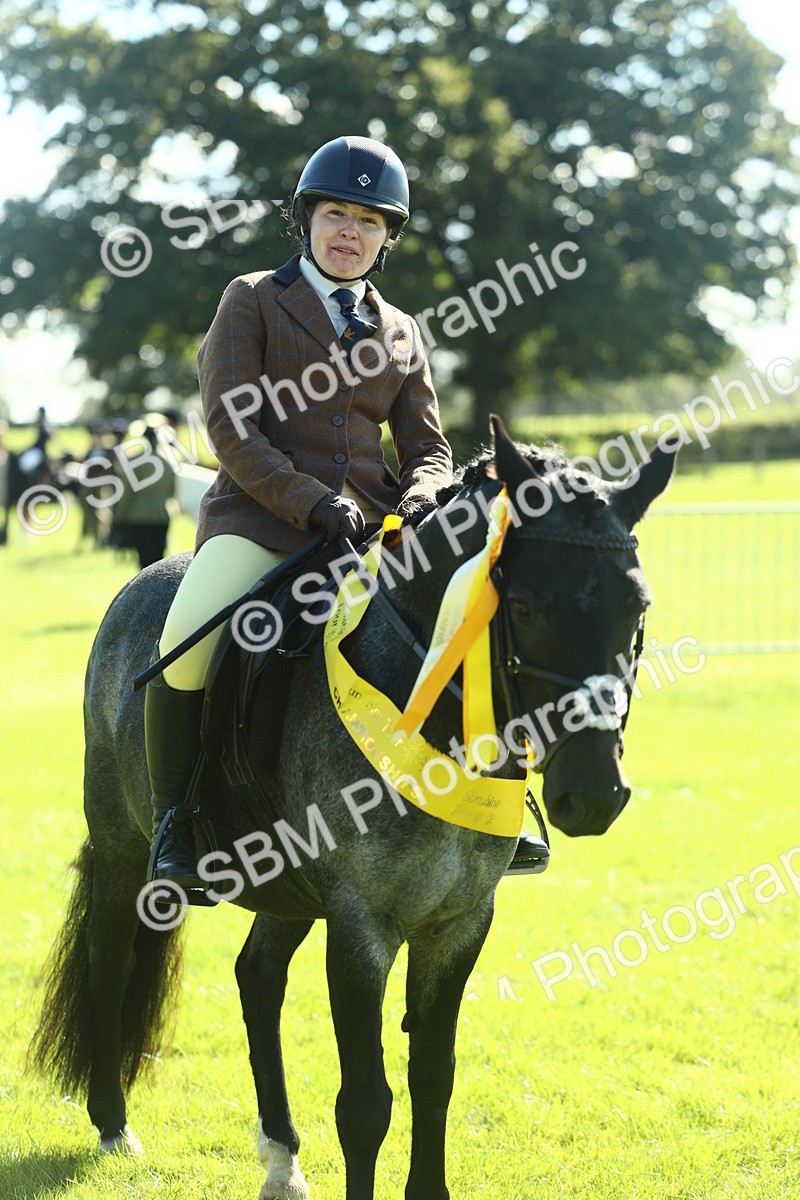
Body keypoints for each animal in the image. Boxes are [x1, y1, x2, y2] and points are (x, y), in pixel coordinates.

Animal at [29, 418, 676, 1200]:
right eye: (523, 606)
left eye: (637, 608)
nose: (594, 794)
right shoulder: (362, 924)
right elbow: (366, 1104)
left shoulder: (460, 923)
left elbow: (433, 1078)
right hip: (127, 850)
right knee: (110, 962)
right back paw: (114, 1124)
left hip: (289, 888)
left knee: (257, 976)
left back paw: (281, 1155)